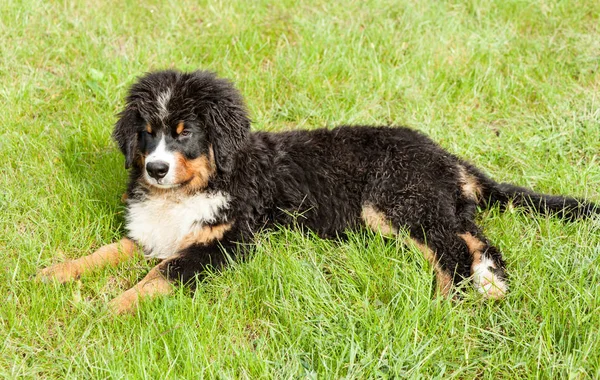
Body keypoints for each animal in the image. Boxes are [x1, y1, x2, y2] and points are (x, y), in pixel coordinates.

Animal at [38, 70, 600, 314]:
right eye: (148, 131)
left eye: (185, 132)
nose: (155, 170)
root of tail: (445, 155)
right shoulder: (158, 231)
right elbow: (110, 250)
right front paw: (53, 274)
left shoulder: (226, 241)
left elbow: (161, 274)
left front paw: (110, 309)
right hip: (432, 202)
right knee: (475, 239)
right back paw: (491, 284)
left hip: (394, 201)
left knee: (451, 250)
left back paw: (443, 301)